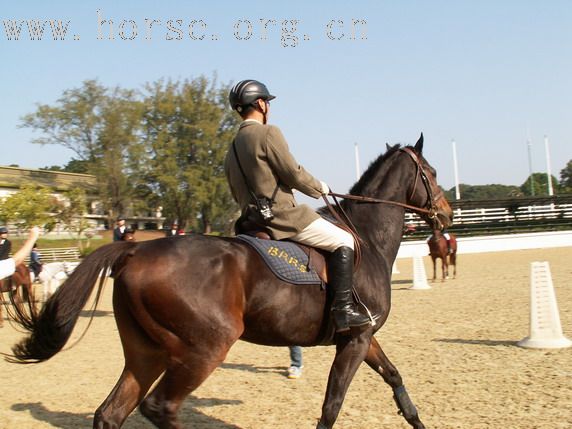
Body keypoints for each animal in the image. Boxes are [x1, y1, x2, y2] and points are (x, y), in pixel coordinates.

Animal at [4, 135, 452, 428]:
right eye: (430, 172)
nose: (447, 214)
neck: (365, 239)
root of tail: (135, 251)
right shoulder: (355, 340)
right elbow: (332, 404)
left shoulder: (362, 337)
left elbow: (394, 378)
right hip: (204, 349)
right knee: (161, 408)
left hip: (146, 352)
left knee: (111, 413)